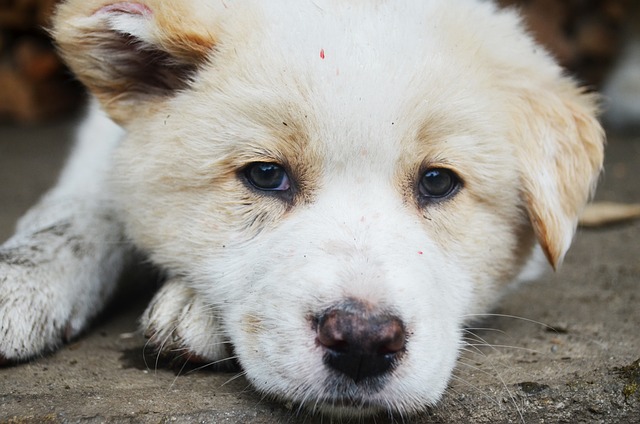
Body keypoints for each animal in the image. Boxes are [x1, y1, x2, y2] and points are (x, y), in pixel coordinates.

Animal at [0, 0, 604, 418]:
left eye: (437, 182)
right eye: (266, 176)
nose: (362, 342)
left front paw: (190, 305)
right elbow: (81, 209)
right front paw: (22, 280)